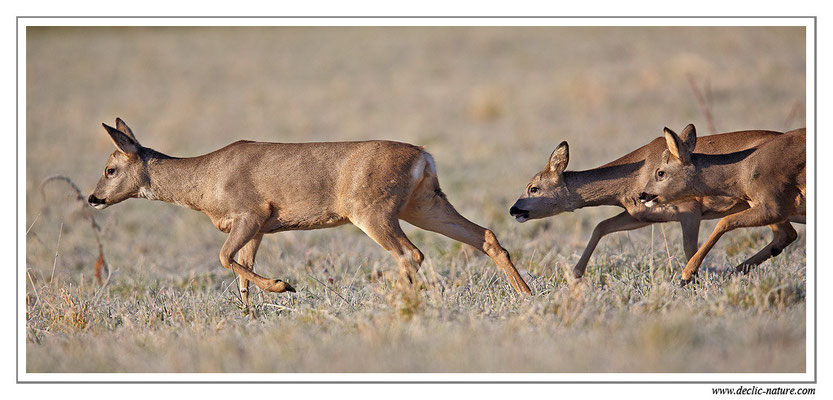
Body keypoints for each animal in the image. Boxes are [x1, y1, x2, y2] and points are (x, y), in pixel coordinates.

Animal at [88, 117, 528, 308]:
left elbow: (225, 257)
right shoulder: (260, 227)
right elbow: (241, 271)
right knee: (484, 235)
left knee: (410, 253)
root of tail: (424, 155)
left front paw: (284, 286)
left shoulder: (250, 212)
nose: (93, 198)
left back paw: (402, 302)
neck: (204, 181)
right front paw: (249, 315)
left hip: (372, 209)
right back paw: (526, 294)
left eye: (110, 169)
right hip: (423, 203)